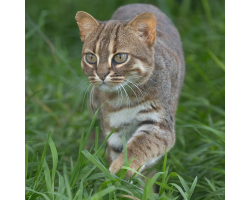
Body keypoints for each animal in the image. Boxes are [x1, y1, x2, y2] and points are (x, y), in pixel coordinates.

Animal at [75, 3, 185, 178]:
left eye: (120, 57)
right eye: (91, 57)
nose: (101, 75)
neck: (124, 96)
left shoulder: (160, 124)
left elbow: (140, 146)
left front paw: (121, 167)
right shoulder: (115, 128)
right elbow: (120, 152)